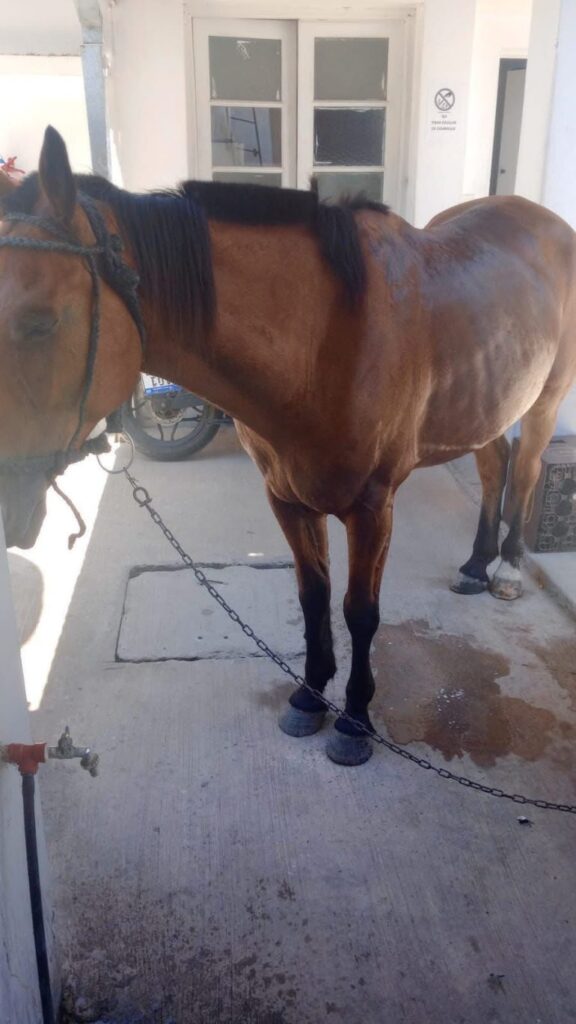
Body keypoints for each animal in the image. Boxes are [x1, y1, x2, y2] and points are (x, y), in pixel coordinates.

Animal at [1, 126, 575, 766]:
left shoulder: (373, 508)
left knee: (524, 474)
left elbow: (359, 611)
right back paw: (476, 563)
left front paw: (354, 720)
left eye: (41, 322)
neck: (327, 338)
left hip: (544, 402)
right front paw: (309, 695)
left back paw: (508, 569)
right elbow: (313, 596)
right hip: (489, 403)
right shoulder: (287, 498)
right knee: (494, 468)